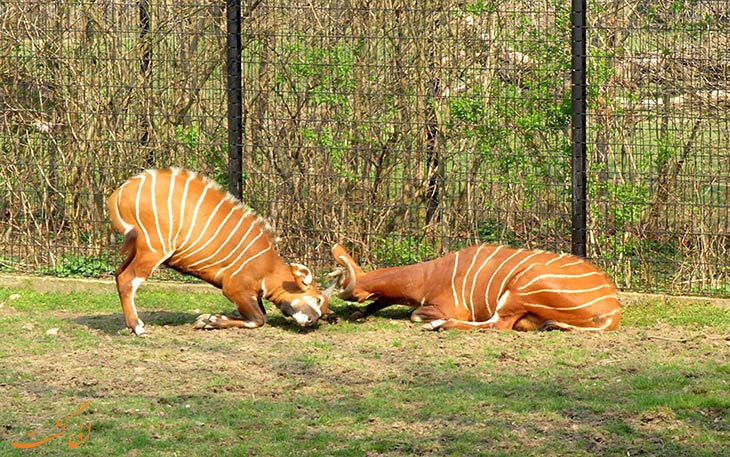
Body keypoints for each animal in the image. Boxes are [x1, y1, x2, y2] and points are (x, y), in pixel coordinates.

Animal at [332, 242, 620, 332]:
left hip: (519, 290)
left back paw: (439, 326)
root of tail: (612, 314)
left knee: (499, 325)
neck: (430, 274)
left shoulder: (450, 307)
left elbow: (414, 314)